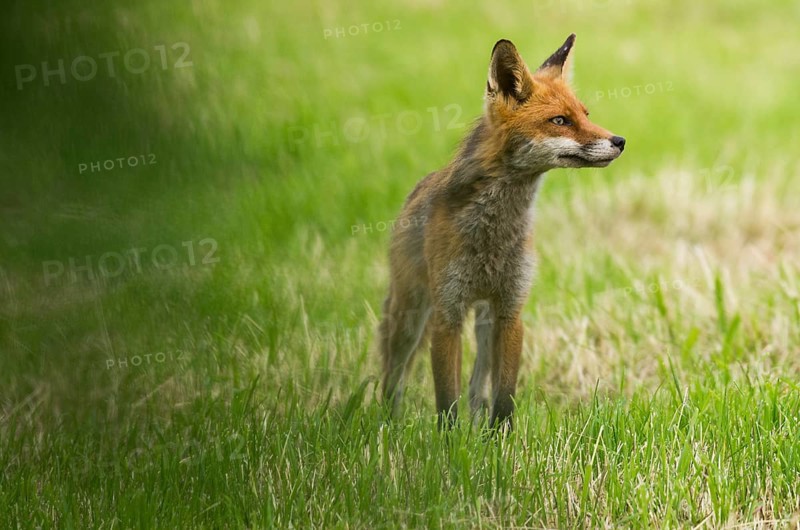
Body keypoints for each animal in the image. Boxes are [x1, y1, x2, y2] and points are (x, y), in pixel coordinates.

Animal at [378, 34, 625, 430]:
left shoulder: (510, 309)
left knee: (477, 386)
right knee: (394, 373)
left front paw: (498, 440)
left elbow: (503, 396)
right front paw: (448, 443)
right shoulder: (448, 314)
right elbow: (446, 400)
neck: (494, 234)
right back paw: (388, 421)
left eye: (585, 115)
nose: (620, 141)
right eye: (560, 120)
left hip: (484, 320)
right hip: (410, 314)